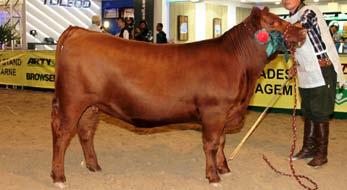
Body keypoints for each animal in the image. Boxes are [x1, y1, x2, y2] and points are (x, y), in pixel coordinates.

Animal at [50, 7, 306, 187]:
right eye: (275, 22)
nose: (303, 30)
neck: (241, 67)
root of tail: (79, 32)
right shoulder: (214, 111)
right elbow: (211, 144)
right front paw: (213, 176)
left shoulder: (224, 113)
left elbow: (222, 141)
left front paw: (224, 168)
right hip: (72, 101)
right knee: (62, 134)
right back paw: (59, 176)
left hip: (91, 106)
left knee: (85, 132)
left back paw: (93, 166)